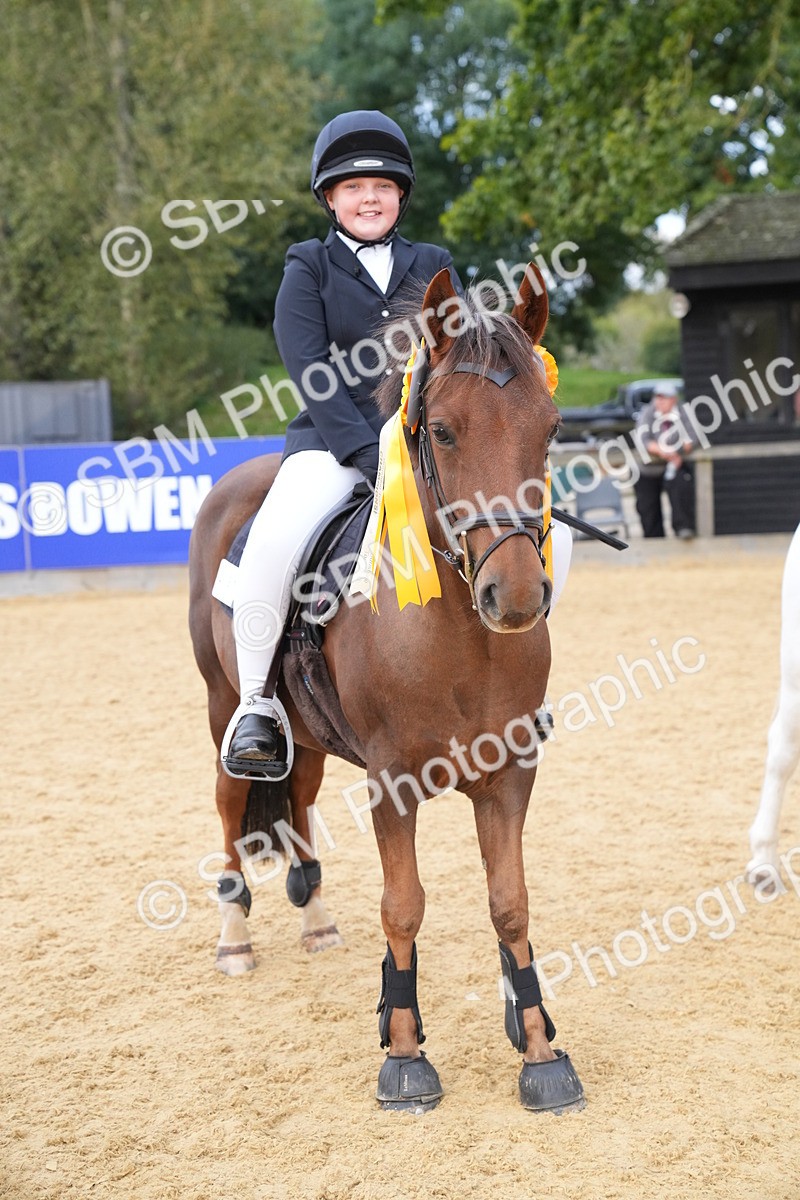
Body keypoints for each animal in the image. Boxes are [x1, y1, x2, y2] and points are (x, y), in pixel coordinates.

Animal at [188, 264, 586, 1114]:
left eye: (550, 428)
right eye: (445, 431)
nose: (515, 596)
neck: (462, 637)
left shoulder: (510, 773)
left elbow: (510, 903)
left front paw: (539, 1049)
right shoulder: (392, 781)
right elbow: (403, 907)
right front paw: (404, 1055)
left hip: (305, 732)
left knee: (298, 791)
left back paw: (315, 920)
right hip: (221, 707)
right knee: (232, 800)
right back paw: (235, 937)